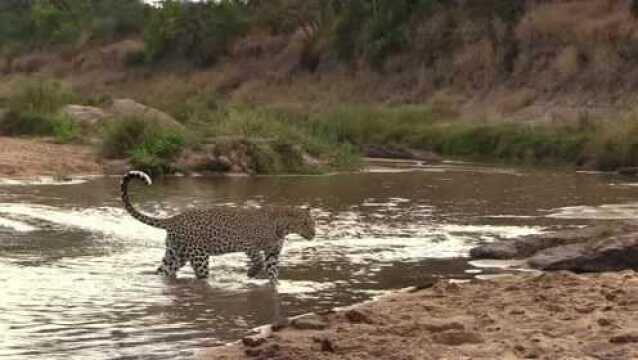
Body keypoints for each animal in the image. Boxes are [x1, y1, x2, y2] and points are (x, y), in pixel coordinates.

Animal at [121, 170, 316, 286]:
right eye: (306, 223)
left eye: (313, 223)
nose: (314, 234)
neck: (282, 228)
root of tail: (173, 219)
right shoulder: (249, 245)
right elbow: (259, 261)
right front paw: (251, 273)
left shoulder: (273, 254)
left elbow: (273, 273)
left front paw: (276, 286)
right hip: (199, 256)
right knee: (201, 276)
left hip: (176, 254)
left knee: (163, 271)